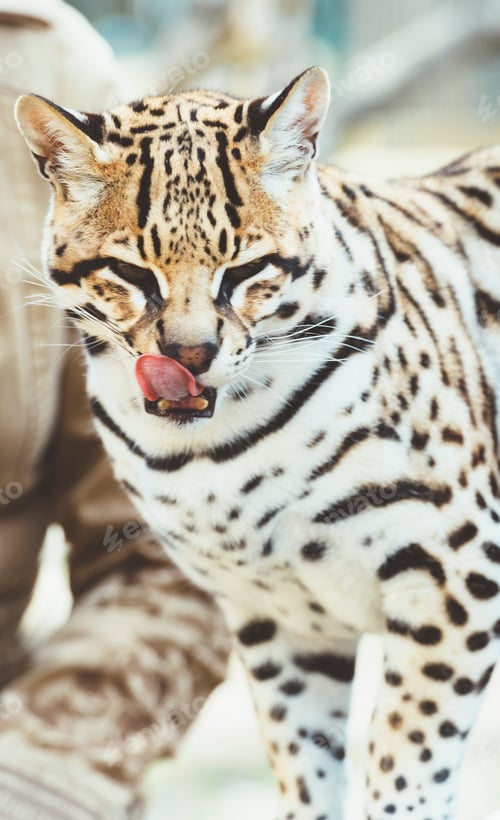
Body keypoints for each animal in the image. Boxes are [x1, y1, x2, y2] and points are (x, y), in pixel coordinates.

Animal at [15, 66, 500, 819]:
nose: (190, 355)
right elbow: (306, 762)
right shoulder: (278, 618)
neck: (211, 453)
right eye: (132, 274)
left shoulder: (456, 572)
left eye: (246, 271)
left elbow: (407, 764)